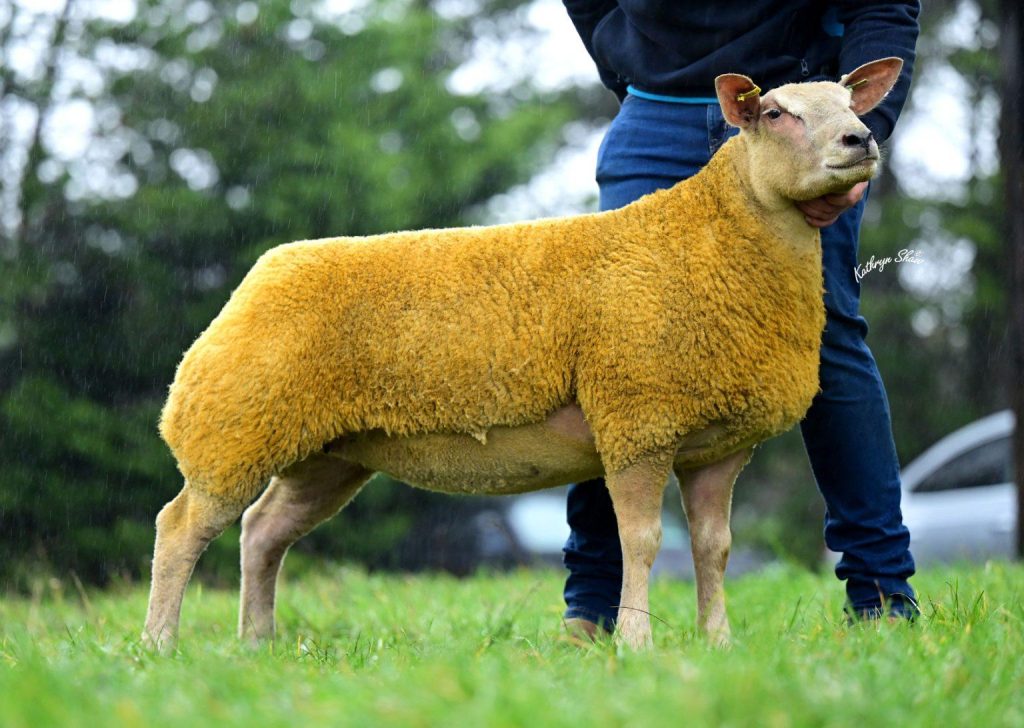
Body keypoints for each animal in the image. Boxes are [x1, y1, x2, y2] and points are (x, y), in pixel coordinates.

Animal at [143, 57, 905, 652]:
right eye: (774, 113)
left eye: (848, 103)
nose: (861, 139)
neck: (710, 244)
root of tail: (263, 272)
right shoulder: (637, 422)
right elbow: (642, 541)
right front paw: (636, 644)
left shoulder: (717, 444)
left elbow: (712, 549)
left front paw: (717, 645)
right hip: (235, 427)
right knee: (180, 527)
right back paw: (160, 646)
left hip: (324, 451)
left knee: (262, 532)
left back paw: (257, 644)